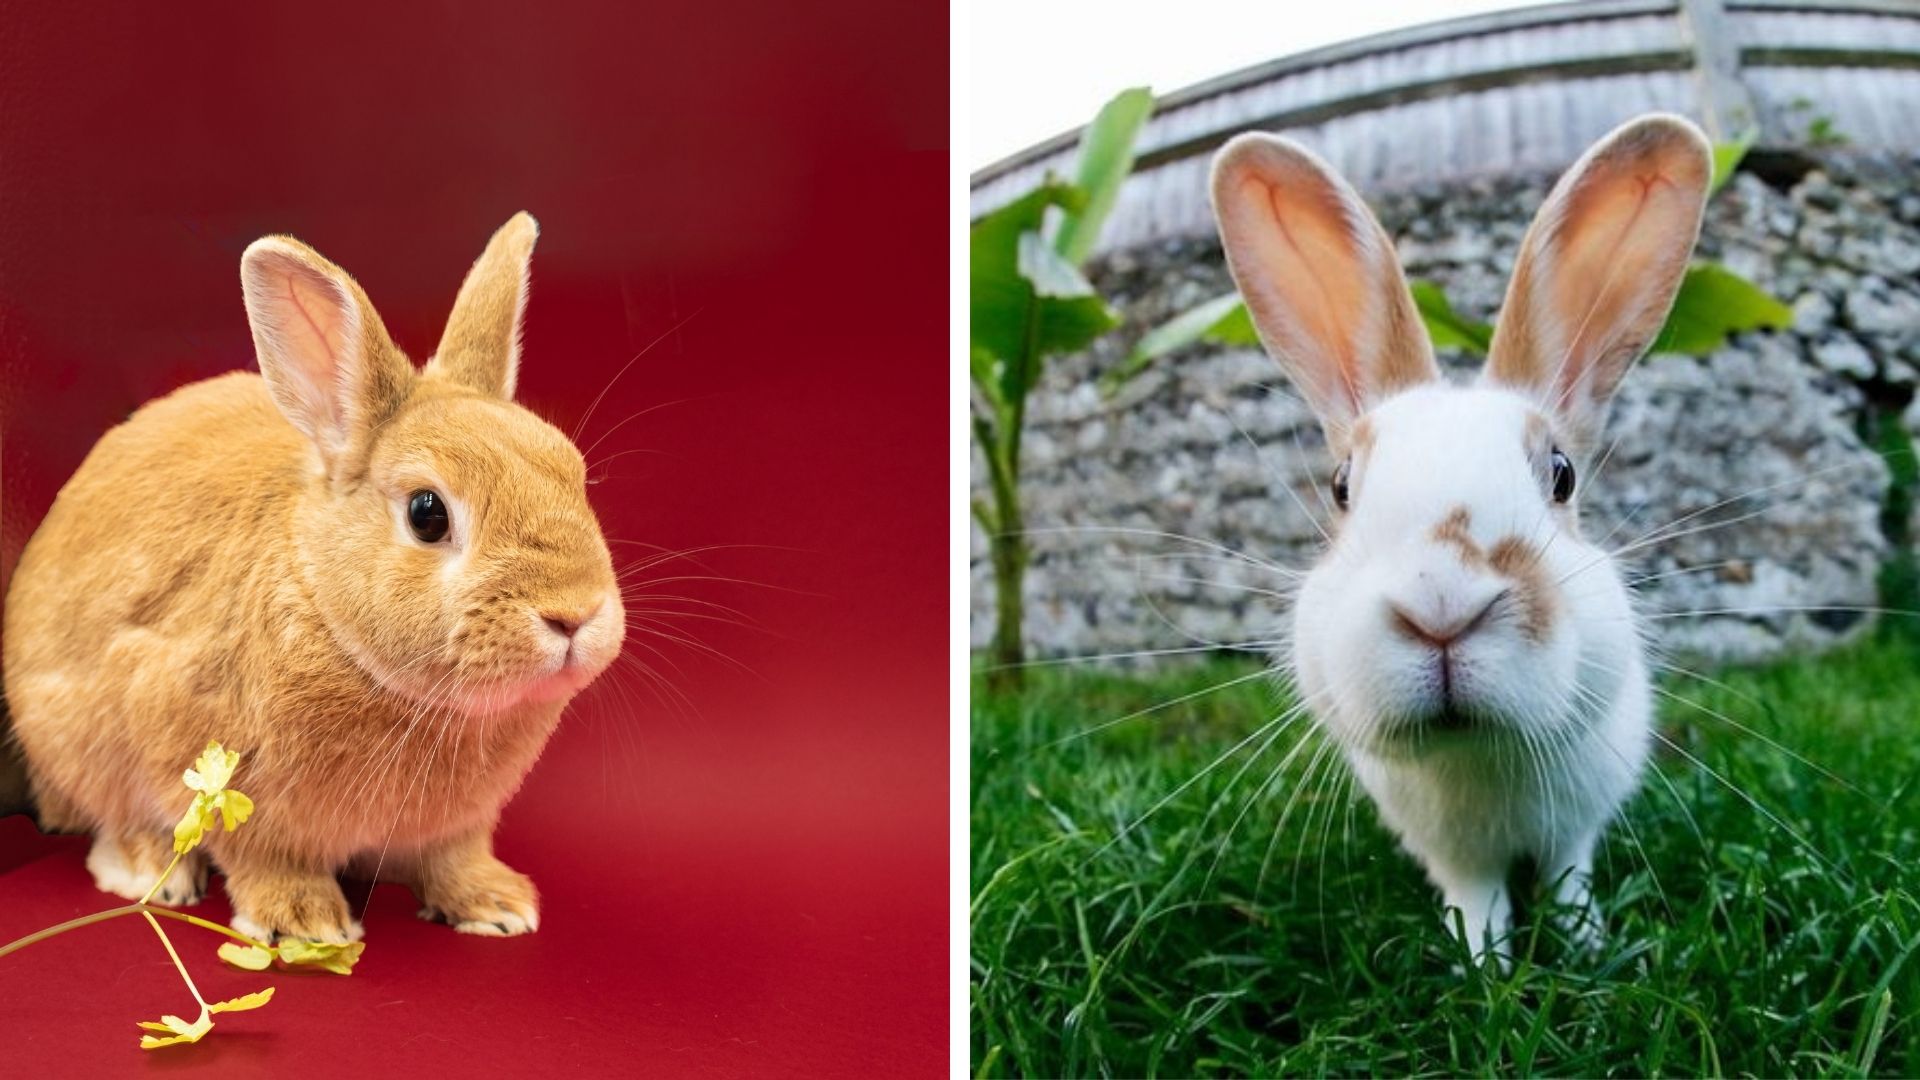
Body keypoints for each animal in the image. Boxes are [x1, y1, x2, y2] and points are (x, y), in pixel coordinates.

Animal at [3, 212, 626, 942]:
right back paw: (152, 870)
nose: (574, 613)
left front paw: (497, 906)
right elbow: (262, 857)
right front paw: (306, 924)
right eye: (427, 513)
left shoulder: (456, 827)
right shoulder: (213, 770)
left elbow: (453, 857)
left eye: (573, 472)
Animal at [1208, 114, 1712, 960]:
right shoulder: (1453, 853)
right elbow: (1477, 899)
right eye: (1341, 487)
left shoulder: (1575, 827)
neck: (1476, 754)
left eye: (1562, 474)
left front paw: (1588, 946)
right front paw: (1481, 963)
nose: (1440, 607)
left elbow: (1569, 877)